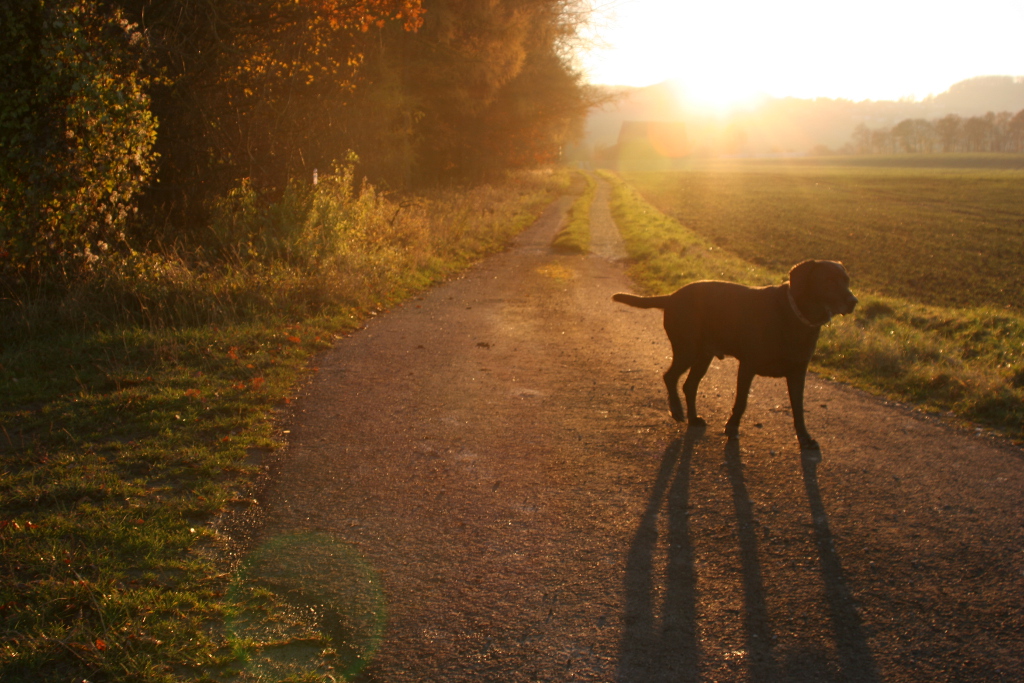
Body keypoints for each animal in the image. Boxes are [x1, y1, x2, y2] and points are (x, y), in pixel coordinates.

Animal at [610, 260, 860, 448]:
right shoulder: (748, 365)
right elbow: (741, 401)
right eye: (829, 280)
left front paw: (805, 439)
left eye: (847, 281)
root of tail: (672, 296)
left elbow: (798, 409)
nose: (854, 301)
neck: (795, 315)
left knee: (689, 385)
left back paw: (693, 418)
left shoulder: (798, 373)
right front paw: (731, 427)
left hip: (704, 356)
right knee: (670, 377)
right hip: (687, 349)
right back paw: (677, 411)